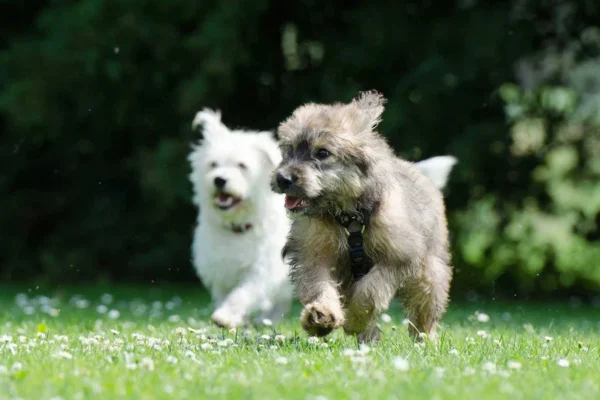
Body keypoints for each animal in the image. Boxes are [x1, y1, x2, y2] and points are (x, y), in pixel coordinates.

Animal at [270, 91, 450, 344]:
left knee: (424, 311)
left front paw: (354, 319)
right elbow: (319, 285)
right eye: (290, 149)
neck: (348, 217)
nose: (283, 178)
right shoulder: (314, 254)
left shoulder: (398, 257)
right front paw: (322, 315)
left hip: (430, 273)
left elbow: (370, 291)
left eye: (322, 153)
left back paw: (424, 341)